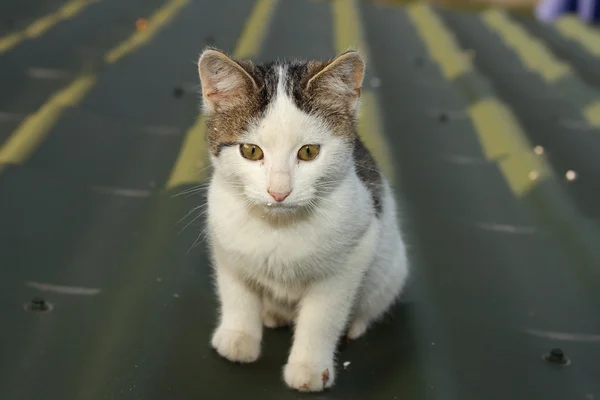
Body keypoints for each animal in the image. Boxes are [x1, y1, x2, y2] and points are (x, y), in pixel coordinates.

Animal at [197, 46, 408, 390]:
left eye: (308, 152)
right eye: (251, 151)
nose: (278, 191)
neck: (279, 225)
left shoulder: (351, 256)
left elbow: (322, 317)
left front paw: (309, 366)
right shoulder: (224, 239)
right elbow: (236, 290)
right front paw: (239, 336)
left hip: (391, 268)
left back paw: (356, 324)